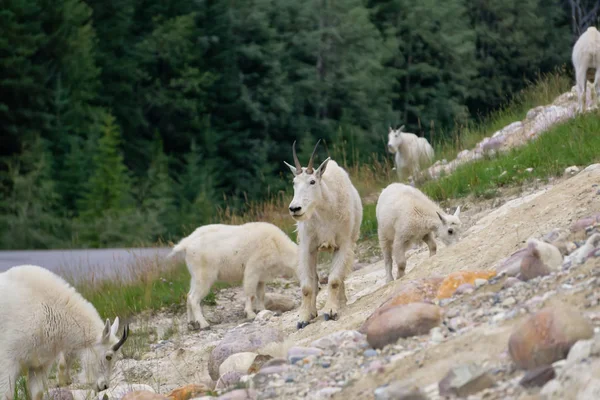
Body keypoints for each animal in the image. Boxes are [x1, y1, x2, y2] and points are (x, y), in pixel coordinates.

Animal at [0, 264, 130, 398]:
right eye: (108, 356)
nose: (104, 386)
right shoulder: (7, 361)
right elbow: (6, 394)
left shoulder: (40, 365)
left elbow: (38, 394)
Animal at [168, 220, 298, 330]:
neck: (277, 246)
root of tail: (187, 244)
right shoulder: (253, 269)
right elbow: (250, 293)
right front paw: (250, 314)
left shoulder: (262, 276)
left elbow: (261, 294)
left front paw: (262, 310)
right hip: (204, 273)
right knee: (194, 297)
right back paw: (204, 324)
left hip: (195, 275)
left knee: (188, 295)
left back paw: (191, 324)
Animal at [284, 140, 364, 328]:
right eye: (294, 182)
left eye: (312, 181)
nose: (295, 208)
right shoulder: (307, 247)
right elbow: (307, 286)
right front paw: (303, 318)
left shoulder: (343, 244)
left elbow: (334, 279)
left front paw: (331, 311)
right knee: (315, 281)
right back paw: (314, 311)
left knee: (340, 275)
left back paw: (340, 302)